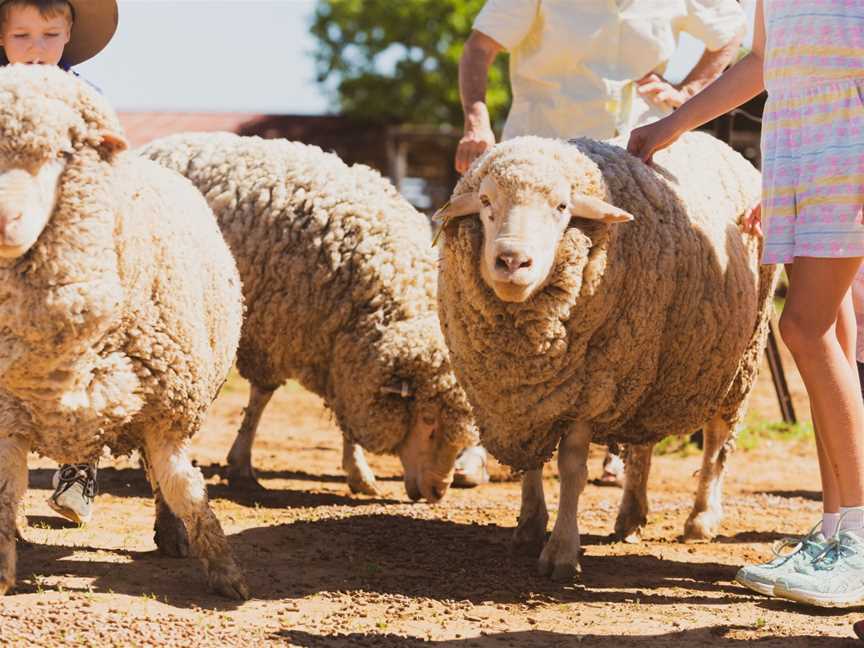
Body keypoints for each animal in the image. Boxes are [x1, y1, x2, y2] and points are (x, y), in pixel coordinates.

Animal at [0, 67, 248, 604]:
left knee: (160, 481)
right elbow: (5, 495)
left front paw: (224, 570)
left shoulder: (169, 408)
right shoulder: (8, 414)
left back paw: (172, 534)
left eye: (63, 152)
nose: (4, 220)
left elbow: (184, 488)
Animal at [142, 132, 480, 504]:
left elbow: (344, 415)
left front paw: (358, 472)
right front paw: (241, 466)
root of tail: (166, 142)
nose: (439, 490)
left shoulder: (340, 351)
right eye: (428, 418)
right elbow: (260, 399)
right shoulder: (274, 332)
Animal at [436, 134, 780, 580]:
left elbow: (572, 470)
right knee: (643, 446)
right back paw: (631, 515)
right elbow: (533, 464)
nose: (512, 260)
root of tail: (716, 141)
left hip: (739, 359)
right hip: (647, 367)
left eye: (562, 207)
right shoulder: (527, 398)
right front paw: (529, 525)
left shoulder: (590, 387)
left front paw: (562, 551)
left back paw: (701, 518)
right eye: (485, 200)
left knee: (717, 441)